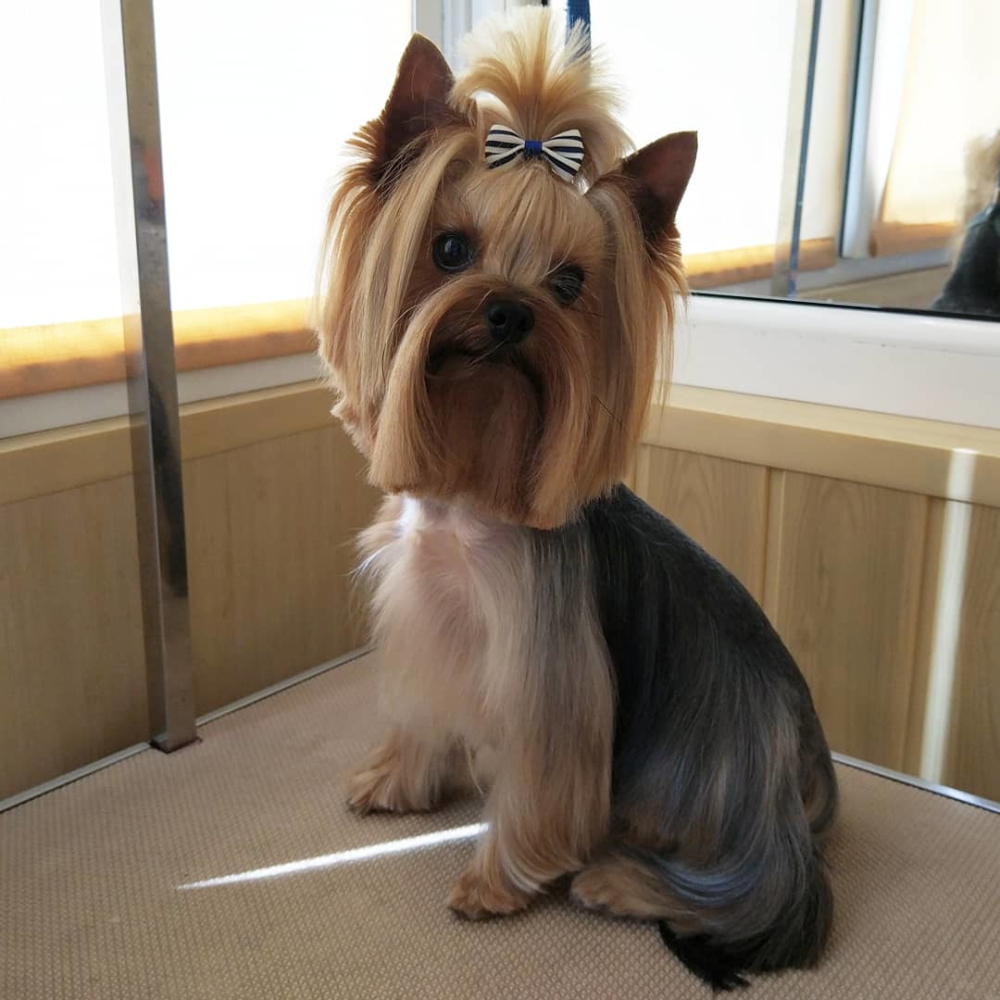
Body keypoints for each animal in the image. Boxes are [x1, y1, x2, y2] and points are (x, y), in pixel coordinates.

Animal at [317, 10, 837, 991]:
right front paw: (396, 783)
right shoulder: (426, 620)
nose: (510, 312)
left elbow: (545, 777)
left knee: (755, 883)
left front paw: (496, 882)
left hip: (706, 768)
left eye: (569, 285)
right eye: (448, 250)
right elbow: (422, 715)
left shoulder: (548, 664)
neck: (472, 490)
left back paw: (621, 883)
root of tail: (805, 787)